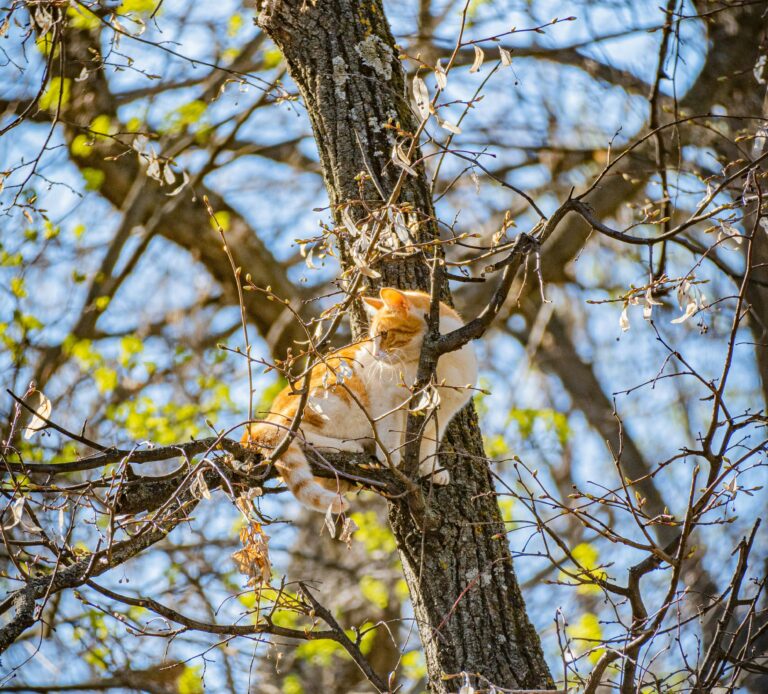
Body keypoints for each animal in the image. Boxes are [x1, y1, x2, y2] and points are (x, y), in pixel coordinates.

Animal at [243, 286, 476, 512]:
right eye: (373, 338)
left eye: (384, 334)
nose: (375, 355)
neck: (440, 362)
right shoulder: (385, 396)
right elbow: (389, 430)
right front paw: (391, 457)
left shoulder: (443, 412)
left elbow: (430, 442)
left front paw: (431, 470)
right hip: (333, 395)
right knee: (288, 430)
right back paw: (346, 446)